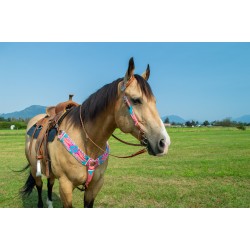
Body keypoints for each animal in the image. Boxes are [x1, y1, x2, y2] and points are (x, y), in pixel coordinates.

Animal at [20, 57, 171, 208]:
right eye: (136, 100)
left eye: (155, 102)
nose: (164, 142)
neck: (87, 142)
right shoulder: (65, 185)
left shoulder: (95, 186)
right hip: (34, 169)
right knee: (40, 186)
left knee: (50, 183)